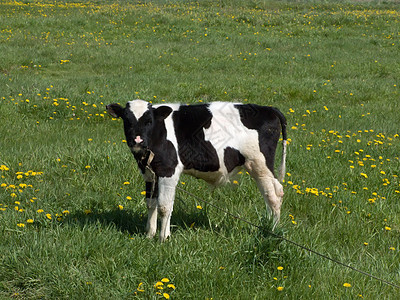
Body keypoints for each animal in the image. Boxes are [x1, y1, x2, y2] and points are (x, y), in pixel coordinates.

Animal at [107, 100, 288, 241]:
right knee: (275, 191)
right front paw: (149, 234)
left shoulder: (169, 170)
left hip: (259, 165)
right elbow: (151, 203)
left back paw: (271, 231)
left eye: (149, 121)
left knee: (272, 196)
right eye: (127, 120)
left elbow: (165, 206)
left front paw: (163, 237)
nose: (137, 140)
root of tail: (268, 109)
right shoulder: (150, 173)